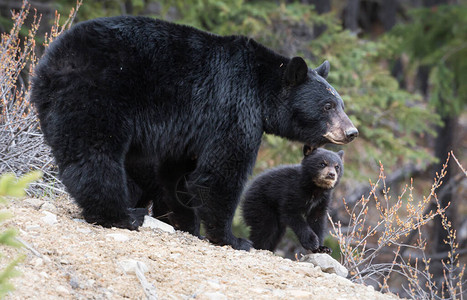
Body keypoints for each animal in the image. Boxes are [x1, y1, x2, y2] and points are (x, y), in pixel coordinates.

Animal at [30, 16, 358, 251]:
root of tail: (51, 61)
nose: (351, 131)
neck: (261, 89)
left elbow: (177, 174)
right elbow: (222, 171)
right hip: (99, 92)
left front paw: (186, 223)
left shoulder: (188, 130)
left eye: (341, 104)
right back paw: (120, 214)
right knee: (95, 152)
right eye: (327, 105)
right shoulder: (233, 108)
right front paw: (231, 238)